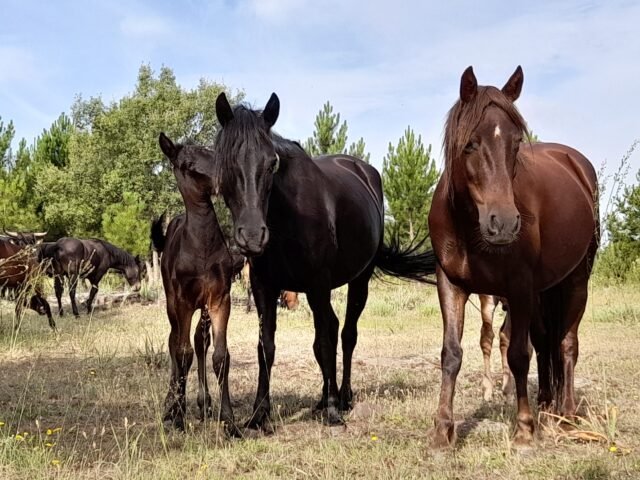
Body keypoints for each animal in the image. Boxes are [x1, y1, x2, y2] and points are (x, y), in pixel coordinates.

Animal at [154, 133, 241, 436]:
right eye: (185, 164)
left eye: (212, 153)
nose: (223, 179)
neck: (201, 247)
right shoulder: (182, 302)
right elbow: (182, 354)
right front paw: (179, 415)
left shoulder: (219, 299)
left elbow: (220, 356)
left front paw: (229, 421)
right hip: (172, 304)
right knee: (174, 342)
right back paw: (170, 405)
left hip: (202, 308)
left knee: (199, 340)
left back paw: (204, 404)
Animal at [212, 93, 438, 432]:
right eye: (227, 163)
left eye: (272, 163)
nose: (252, 236)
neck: (286, 220)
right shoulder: (265, 287)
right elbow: (266, 347)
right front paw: (259, 413)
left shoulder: (318, 285)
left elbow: (323, 343)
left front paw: (332, 411)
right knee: (332, 329)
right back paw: (322, 397)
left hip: (358, 281)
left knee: (345, 335)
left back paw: (342, 397)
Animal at [430, 65, 600, 448]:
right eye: (471, 143)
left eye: (516, 143)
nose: (504, 223)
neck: (469, 229)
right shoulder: (451, 285)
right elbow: (451, 354)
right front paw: (443, 430)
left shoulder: (519, 288)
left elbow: (519, 355)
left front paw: (523, 428)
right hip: (542, 292)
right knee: (546, 342)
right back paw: (547, 406)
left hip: (575, 281)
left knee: (566, 344)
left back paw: (566, 416)